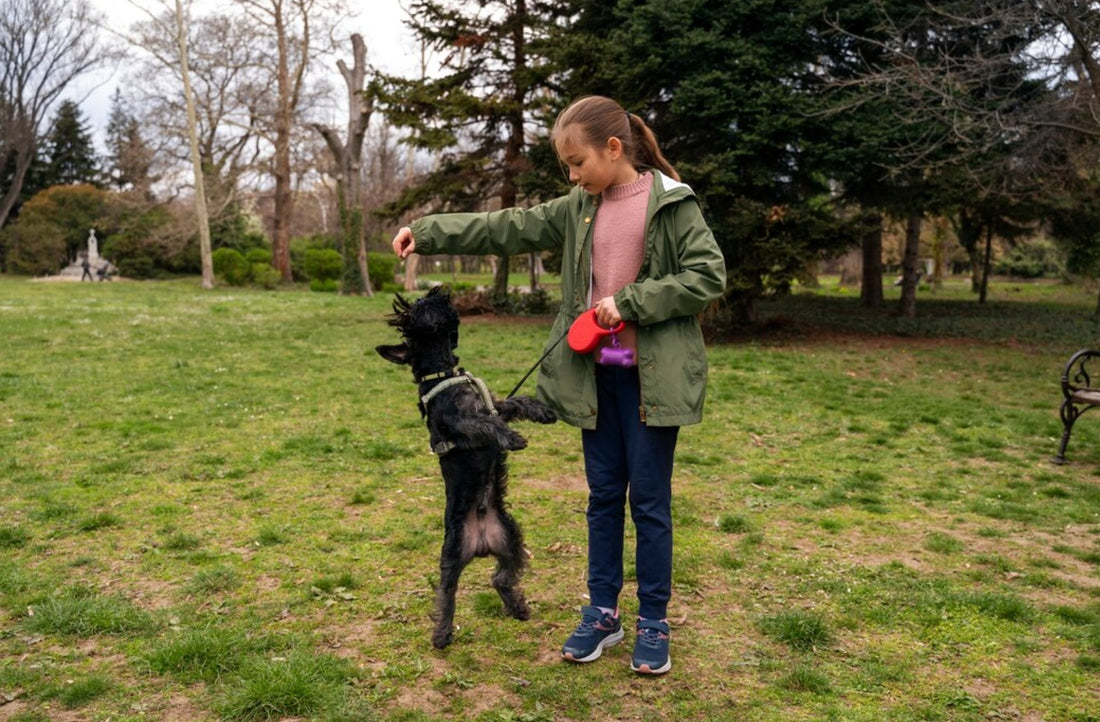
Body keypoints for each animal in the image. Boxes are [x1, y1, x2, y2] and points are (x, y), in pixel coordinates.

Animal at [376, 286, 558, 647]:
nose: (434, 291)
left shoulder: (496, 405)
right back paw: (442, 634)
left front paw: (543, 411)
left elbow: (516, 403)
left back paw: (518, 607)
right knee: (447, 593)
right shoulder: (463, 422)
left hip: (512, 541)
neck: (443, 374)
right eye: (412, 312)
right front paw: (513, 439)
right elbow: (488, 424)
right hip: (451, 555)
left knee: (500, 578)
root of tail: (481, 542)